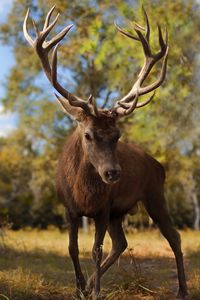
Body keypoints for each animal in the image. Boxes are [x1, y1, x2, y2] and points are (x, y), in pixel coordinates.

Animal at [24, 5, 188, 300]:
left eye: (117, 135)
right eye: (88, 134)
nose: (113, 173)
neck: (84, 195)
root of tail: (159, 165)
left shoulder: (103, 208)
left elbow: (95, 251)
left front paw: (97, 291)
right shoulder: (69, 208)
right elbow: (72, 248)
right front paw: (80, 288)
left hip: (154, 193)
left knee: (174, 236)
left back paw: (181, 289)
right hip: (119, 212)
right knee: (121, 243)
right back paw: (90, 284)